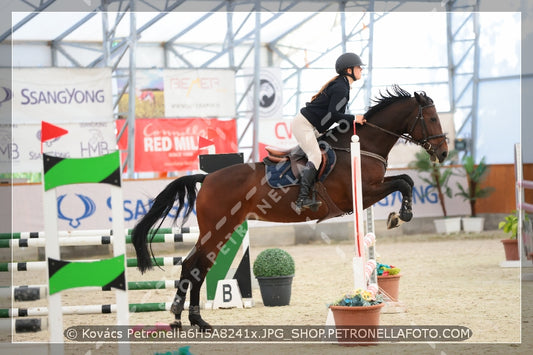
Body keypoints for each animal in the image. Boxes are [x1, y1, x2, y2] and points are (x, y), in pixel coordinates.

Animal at [131, 85, 446, 330]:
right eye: (431, 118)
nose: (443, 153)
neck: (362, 145)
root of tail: (206, 177)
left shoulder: (372, 189)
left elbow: (405, 180)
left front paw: (397, 215)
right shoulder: (363, 193)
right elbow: (404, 182)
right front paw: (401, 215)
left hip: (221, 230)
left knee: (193, 266)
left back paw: (187, 320)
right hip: (218, 230)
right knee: (195, 266)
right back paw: (191, 319)